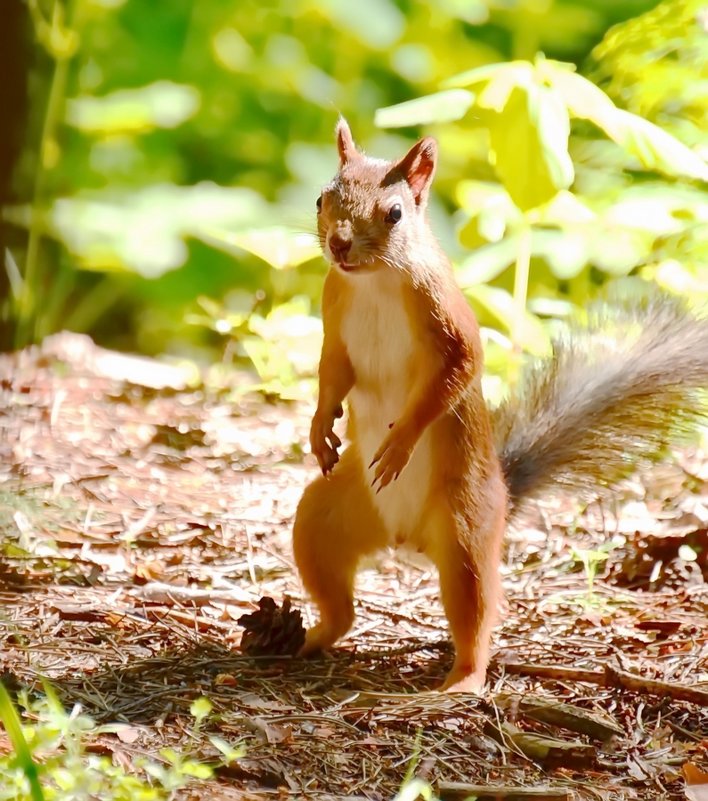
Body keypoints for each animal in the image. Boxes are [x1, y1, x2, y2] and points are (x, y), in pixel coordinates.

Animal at [290, 119, 708, 692]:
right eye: (320, 199)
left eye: (394, 213)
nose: (339, 243)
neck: (374, 281)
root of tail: (404, 539)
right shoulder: (335, 312)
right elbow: (333, 373)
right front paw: (319, 429)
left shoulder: (446, 313)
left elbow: (461, 370)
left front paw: (401, 443)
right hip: (327, 518)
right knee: (340, 604)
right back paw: (305, 638)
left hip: (466, 531)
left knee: (476, 613)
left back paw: (462, 681)